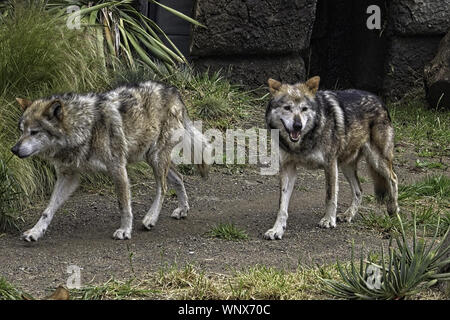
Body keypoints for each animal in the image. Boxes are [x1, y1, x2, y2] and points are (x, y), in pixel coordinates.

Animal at [11, 81, 209, 241]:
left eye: (34, 132)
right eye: (21, 130)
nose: (13, 149)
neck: (85, 128)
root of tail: (173, 91)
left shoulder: (118, 168)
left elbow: (124, 205)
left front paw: (125, 231)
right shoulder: (68, 177)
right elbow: (48, 210)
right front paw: (35, 232)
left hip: (156, 158)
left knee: (164, 187)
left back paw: (151, 218)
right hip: (151, 157)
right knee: (179, 178)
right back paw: (183, 209)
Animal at [266, 76, 400, 239]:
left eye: (304, 109)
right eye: (287, 108)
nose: (298, 126)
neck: (303, 142)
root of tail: (379, 100)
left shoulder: (329, 164)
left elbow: (330, 196)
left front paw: (328, 220)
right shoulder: (288, 168)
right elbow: (282, 205)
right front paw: (277, 229)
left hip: (377, 161)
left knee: (393, 179)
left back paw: (393, 210)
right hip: (345, 165)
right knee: (359, 190)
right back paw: (348, 215)